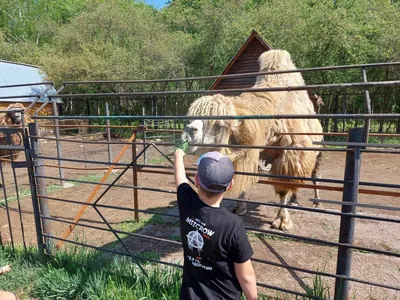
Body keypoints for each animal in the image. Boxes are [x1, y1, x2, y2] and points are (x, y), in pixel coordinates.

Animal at [183, 50, 324, 231]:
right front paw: (239, 208)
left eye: (220, 125)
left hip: (317, 150)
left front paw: (282, 221)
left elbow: (283, 188)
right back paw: (295, 200)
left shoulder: (290, 153)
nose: (189, 131)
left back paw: (316, 203)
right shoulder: (251, 150)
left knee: (314, 175)